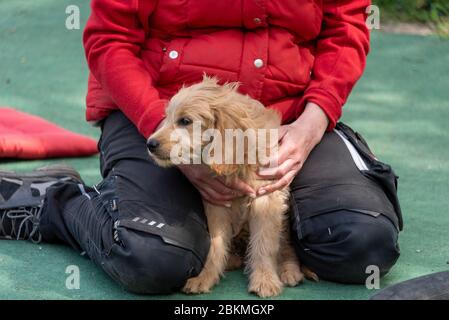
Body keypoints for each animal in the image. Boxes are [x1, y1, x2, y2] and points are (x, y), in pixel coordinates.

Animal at [147, 75, 300, 298]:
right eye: (166, 117)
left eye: (185, 121)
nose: (150, 144)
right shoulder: (217, 202)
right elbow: (216, 243)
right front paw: (205, 276)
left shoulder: (267, 196)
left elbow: (264, 242)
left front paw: (264, 279)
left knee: (286, 245)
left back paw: (290, 270)